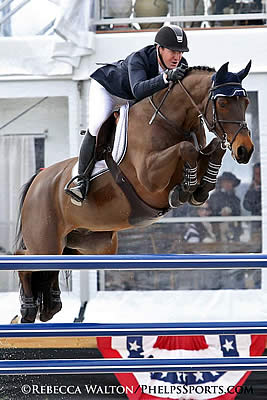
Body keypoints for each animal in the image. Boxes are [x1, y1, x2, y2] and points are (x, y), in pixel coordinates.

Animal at [14, 61, 255, 322]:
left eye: (246, 102)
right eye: (222, 103)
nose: (245, 150)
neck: (171, 120)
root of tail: (38, 179)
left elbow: (212, 150)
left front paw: (199, 189)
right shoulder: (150, 177)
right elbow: (186, 148)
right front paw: (185, 189)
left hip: (88, 245)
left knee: (49, 270)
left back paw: (50, 305)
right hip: (45, 243)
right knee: (22, 258)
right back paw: (27, 308)